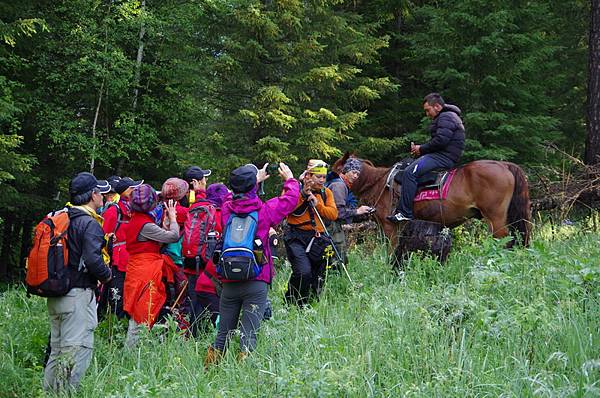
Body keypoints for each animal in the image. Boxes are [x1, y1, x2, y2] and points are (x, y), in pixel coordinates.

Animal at [330, 154, 532, 247]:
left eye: (337, 168)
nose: (328, 183)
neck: (380, 183)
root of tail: (503, 165)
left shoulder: (390, 227)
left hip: (495, 218)